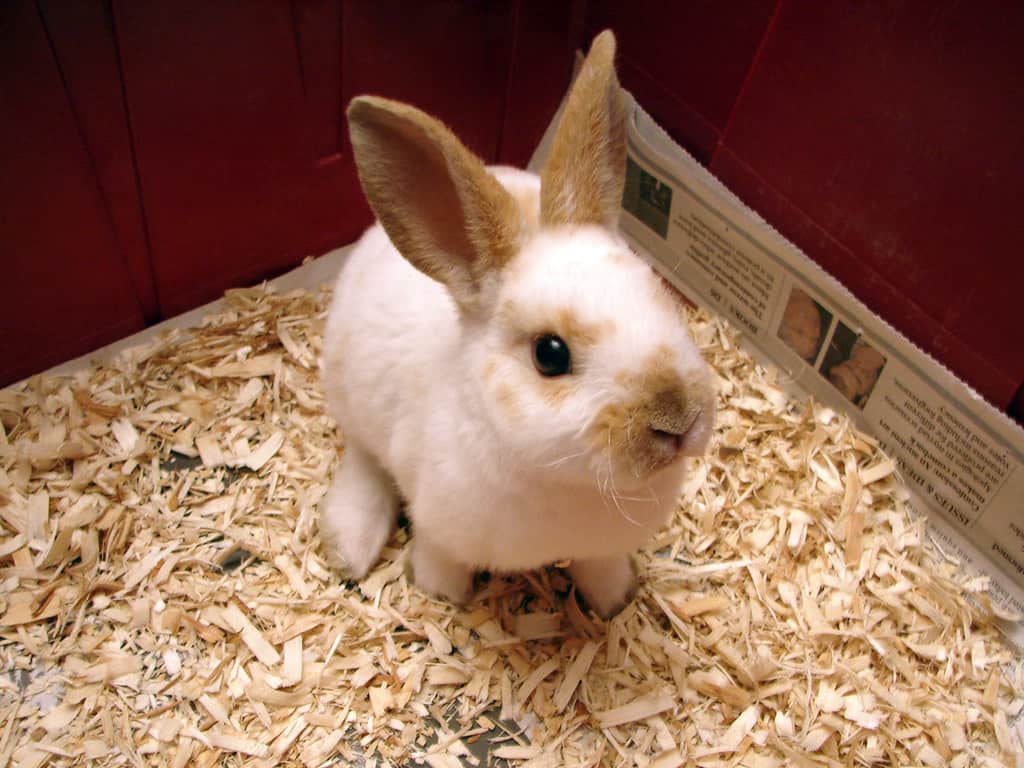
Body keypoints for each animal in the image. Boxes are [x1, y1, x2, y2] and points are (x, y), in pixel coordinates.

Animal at [317, 31, 712, 618]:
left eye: (661, 295)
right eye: (550, 354)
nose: (679, 419)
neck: (568, 481)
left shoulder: (603, 547)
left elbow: (600, 571)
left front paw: (613, 603)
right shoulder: (440, 529)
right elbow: (440, 561)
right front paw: (439, 594)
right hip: (353, 402)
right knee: (365, 460)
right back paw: (348, 548)